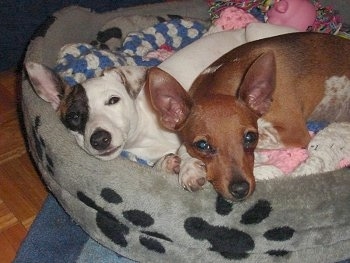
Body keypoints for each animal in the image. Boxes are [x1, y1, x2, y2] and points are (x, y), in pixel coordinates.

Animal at [146, 33, 350, 202]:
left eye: (250, 137)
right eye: (203, 145)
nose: (240, 189)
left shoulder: (293, 132)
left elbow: (182, 146)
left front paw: (187, 167)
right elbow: (183, 146)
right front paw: (182, 166)